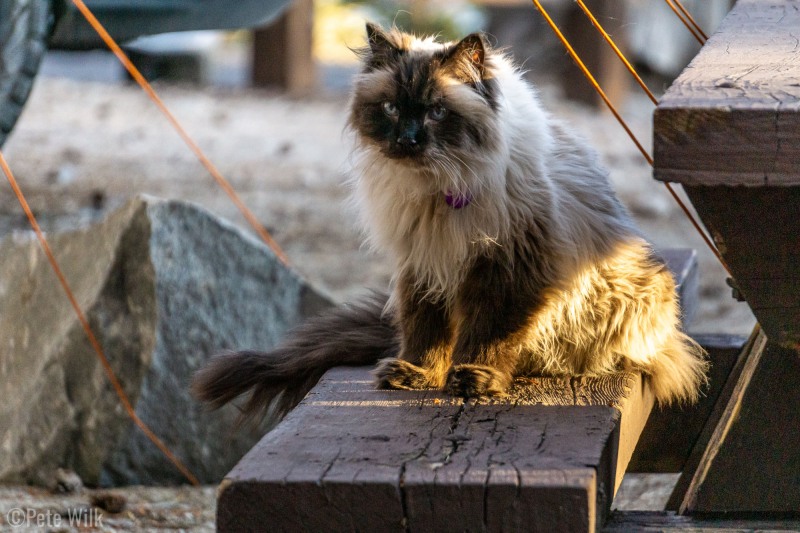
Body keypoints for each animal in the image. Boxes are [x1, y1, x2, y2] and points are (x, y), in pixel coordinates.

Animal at [192, 22, 708, 422]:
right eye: (392, 108)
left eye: (438, 112)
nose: (407, 139)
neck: (438, 187)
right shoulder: (423, 262)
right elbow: (426, 331)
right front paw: (418, 375)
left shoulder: (508, 267)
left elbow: (489, 334)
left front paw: (472, 378)